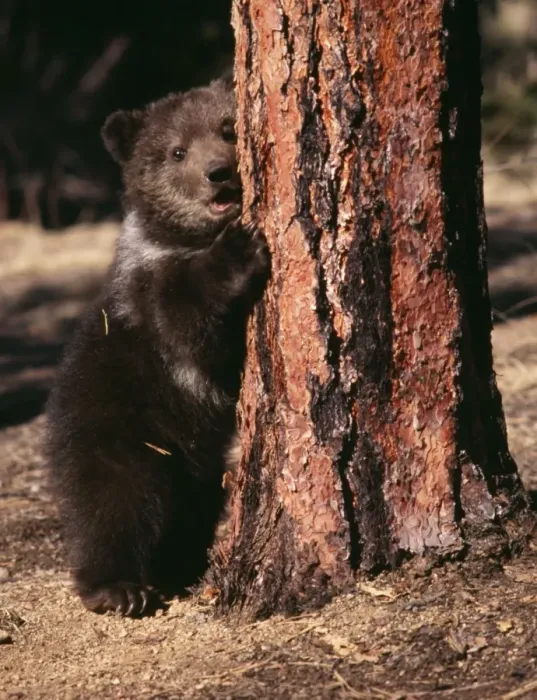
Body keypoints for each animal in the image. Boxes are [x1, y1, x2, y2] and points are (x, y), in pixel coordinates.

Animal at [44, 78, 269, 617]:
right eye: (176, 151)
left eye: (226, 127)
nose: (218, 172)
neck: (181, 240)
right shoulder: (151, 305)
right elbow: (189, 323)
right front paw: (237, 250)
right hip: (118, 431)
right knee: (111, 505)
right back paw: (118, 587)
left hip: (195, 463)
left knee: (189, 511)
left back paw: (179, 568)